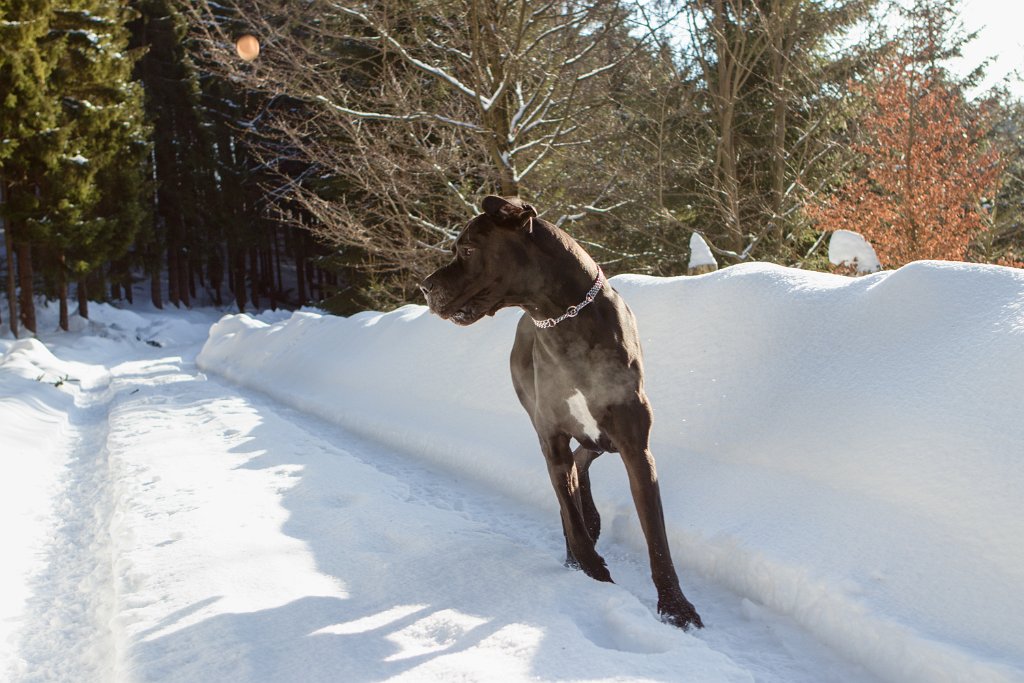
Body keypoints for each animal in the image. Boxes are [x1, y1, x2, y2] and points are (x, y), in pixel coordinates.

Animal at [421, 193, 704, 630]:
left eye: (466, 250)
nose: (425, 286)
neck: (564, 319)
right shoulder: (551, 438)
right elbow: (570, 511)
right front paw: (593, 573)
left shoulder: (635, 447)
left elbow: (656, 538)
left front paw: (676, 607)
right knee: (570, 480)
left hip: (603, 436)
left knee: (583, 459)